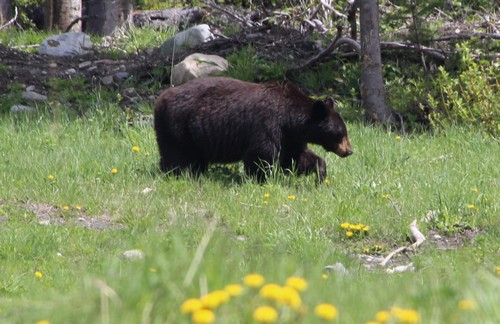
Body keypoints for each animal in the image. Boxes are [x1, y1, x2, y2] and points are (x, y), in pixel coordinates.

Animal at [154, 77, 354, 181]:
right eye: (340, 134)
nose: (349, 150)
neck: (289, 118)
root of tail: (160, 98)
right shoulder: (268, 124)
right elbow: (261, 153)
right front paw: (260, 179)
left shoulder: (290, 137)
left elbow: (296, 157)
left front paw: (320, 172)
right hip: (178, 126)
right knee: (177, 154)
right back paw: (177, 174)